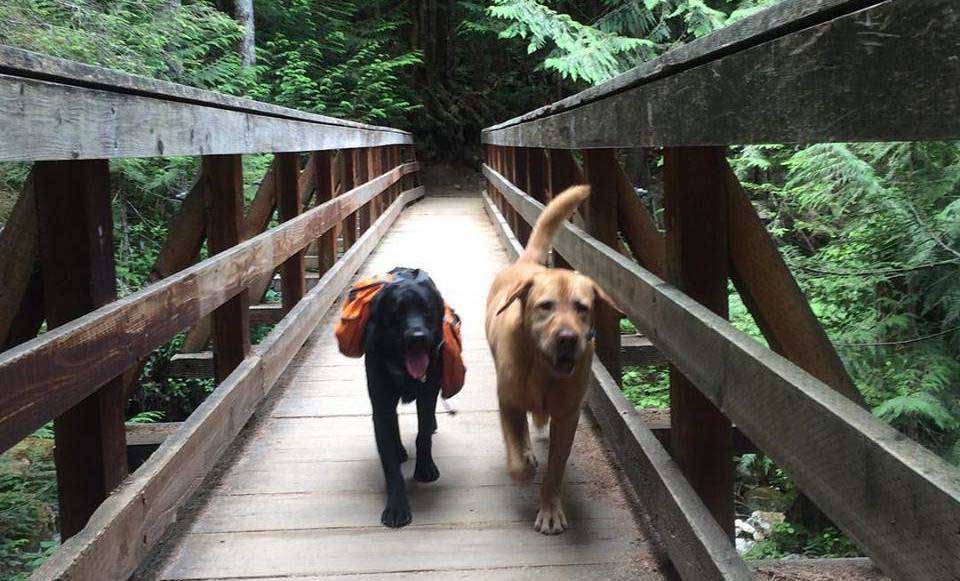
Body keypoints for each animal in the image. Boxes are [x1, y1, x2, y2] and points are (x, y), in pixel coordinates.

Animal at [364, 266, 446, 524]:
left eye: (427, 310)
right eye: (396, 312)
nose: (417, 336)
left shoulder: (428, 393)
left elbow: (423, 435)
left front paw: (425, 468)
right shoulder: (381, 406)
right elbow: (388, 458)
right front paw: (397, 506)